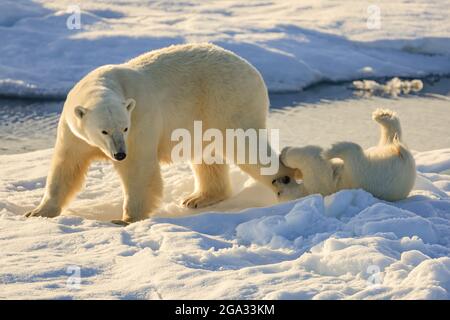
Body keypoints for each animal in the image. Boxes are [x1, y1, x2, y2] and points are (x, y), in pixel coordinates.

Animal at [24, 43, 294, 224]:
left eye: (124, 127)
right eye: (104, 130)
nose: (119, 154)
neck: (106, 83)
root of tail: (252, 70)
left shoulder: (141, 119)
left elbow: (138, 168)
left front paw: (126, 219)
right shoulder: (73, 132)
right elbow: (66, 165)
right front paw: (37, 212)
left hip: (227, 99)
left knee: (245, 146)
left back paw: (287, 185)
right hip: (206, 116)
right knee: (207, 155)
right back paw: (198, 197)